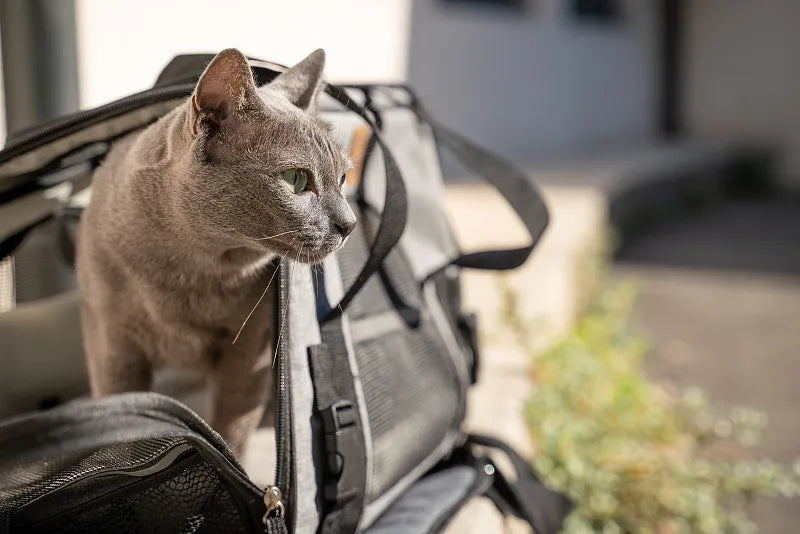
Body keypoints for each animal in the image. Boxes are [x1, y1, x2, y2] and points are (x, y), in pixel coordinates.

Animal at [76, 48, 356, 458]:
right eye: (296, 180)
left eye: (342, 179)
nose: (349, 224)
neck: (189, 270)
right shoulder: (112, 348)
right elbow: (124, 414)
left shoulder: (249, 357)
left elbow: (231, 431)